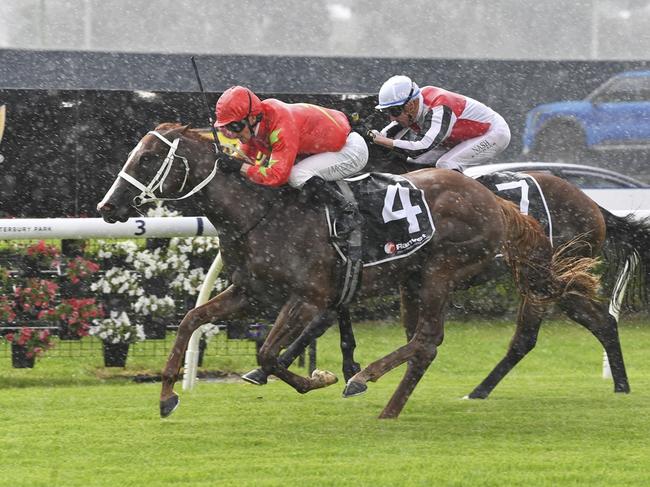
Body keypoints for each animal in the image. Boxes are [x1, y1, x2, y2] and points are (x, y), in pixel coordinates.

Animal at [97, 124, 592, 422]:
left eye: (147, 159)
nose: (107, 207)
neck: (260, 212)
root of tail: (496, 201)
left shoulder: (308, 296)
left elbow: (269, 355)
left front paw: (322, 377)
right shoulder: (250, 290)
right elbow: (191, 321)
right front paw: (167, 395)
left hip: (440, 272)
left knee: (427, 339)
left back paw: (365, 380)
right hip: (415, 278)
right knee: (424, 343)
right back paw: (388, 404)